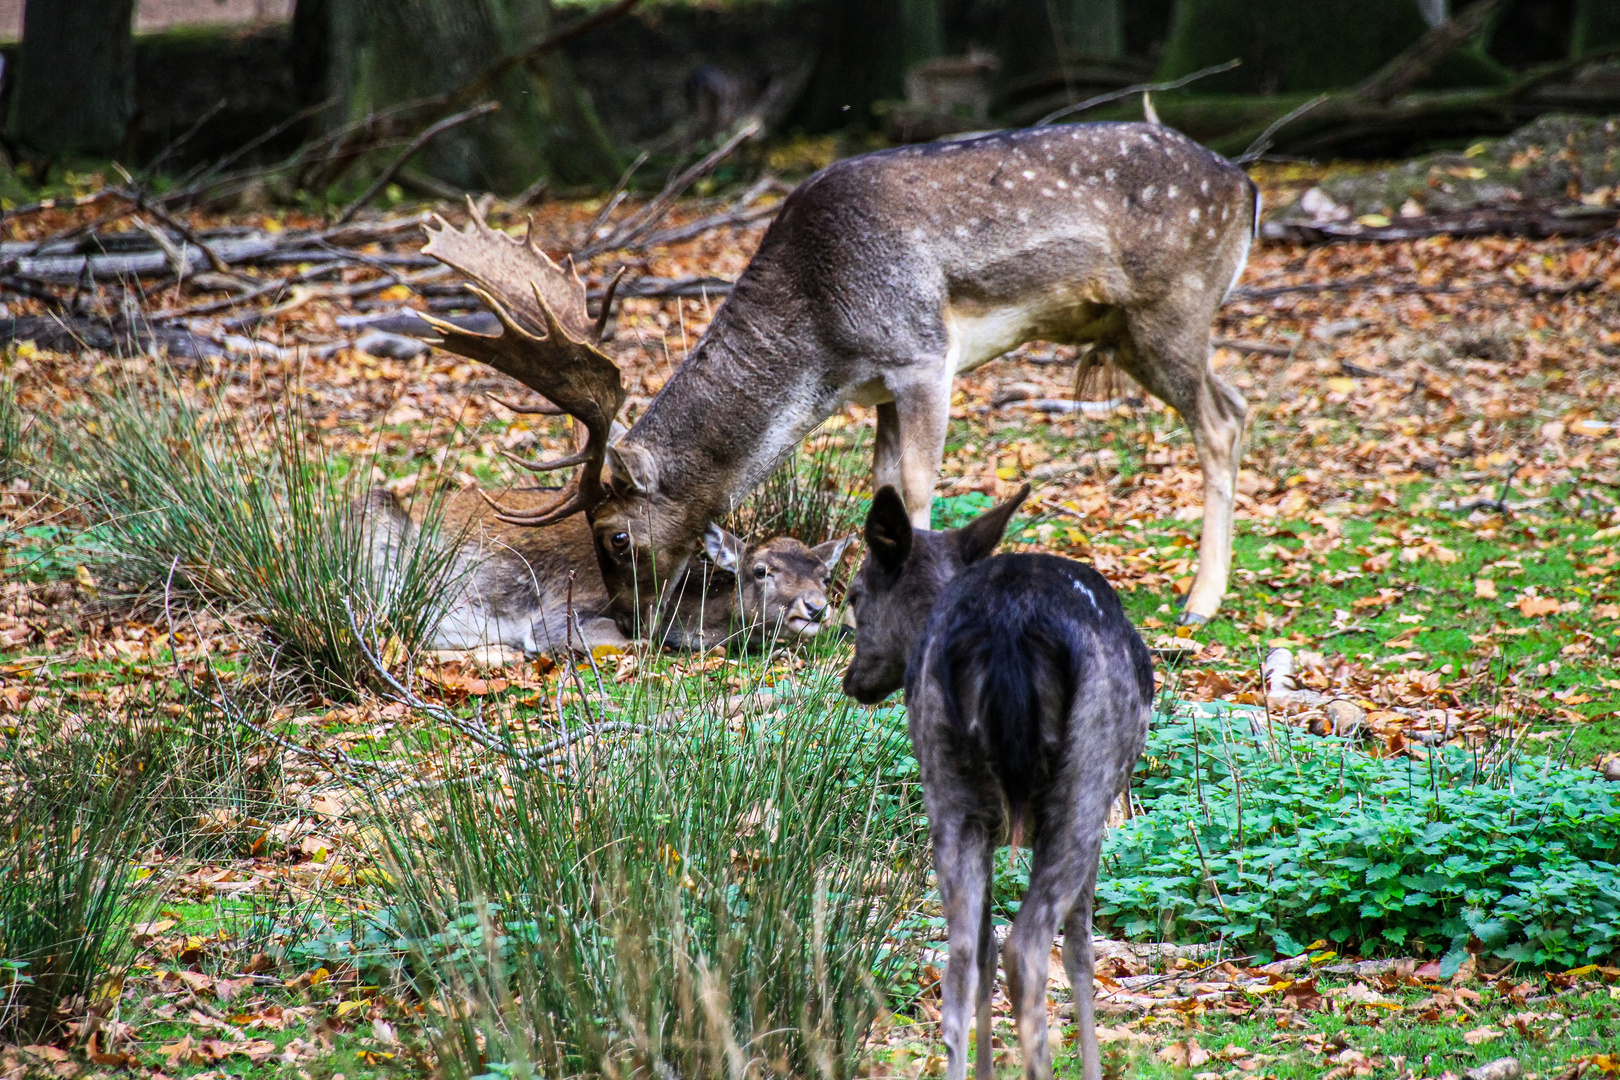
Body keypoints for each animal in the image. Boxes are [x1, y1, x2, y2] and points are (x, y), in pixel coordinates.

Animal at [421, 121, 1250, 634]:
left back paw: (1200, 603)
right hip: (1132, 330)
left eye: (616, 536)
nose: (626, 620)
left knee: (1219, 419)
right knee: (1236, 401)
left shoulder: (922, 353)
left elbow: (913, 486)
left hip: (1170, 309)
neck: (822, 341)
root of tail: (1244, 186)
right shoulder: (878, 387)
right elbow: (879, 487)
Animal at [842, 488, 1159, 1080]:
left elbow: (985, 949)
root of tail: (1007, 629)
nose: (852, 680)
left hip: (948, 789)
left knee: (964, 958)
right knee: (1027, 949)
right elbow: (1081, 947)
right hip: (1085, 783)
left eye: (852, 596)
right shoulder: (1104, 817)